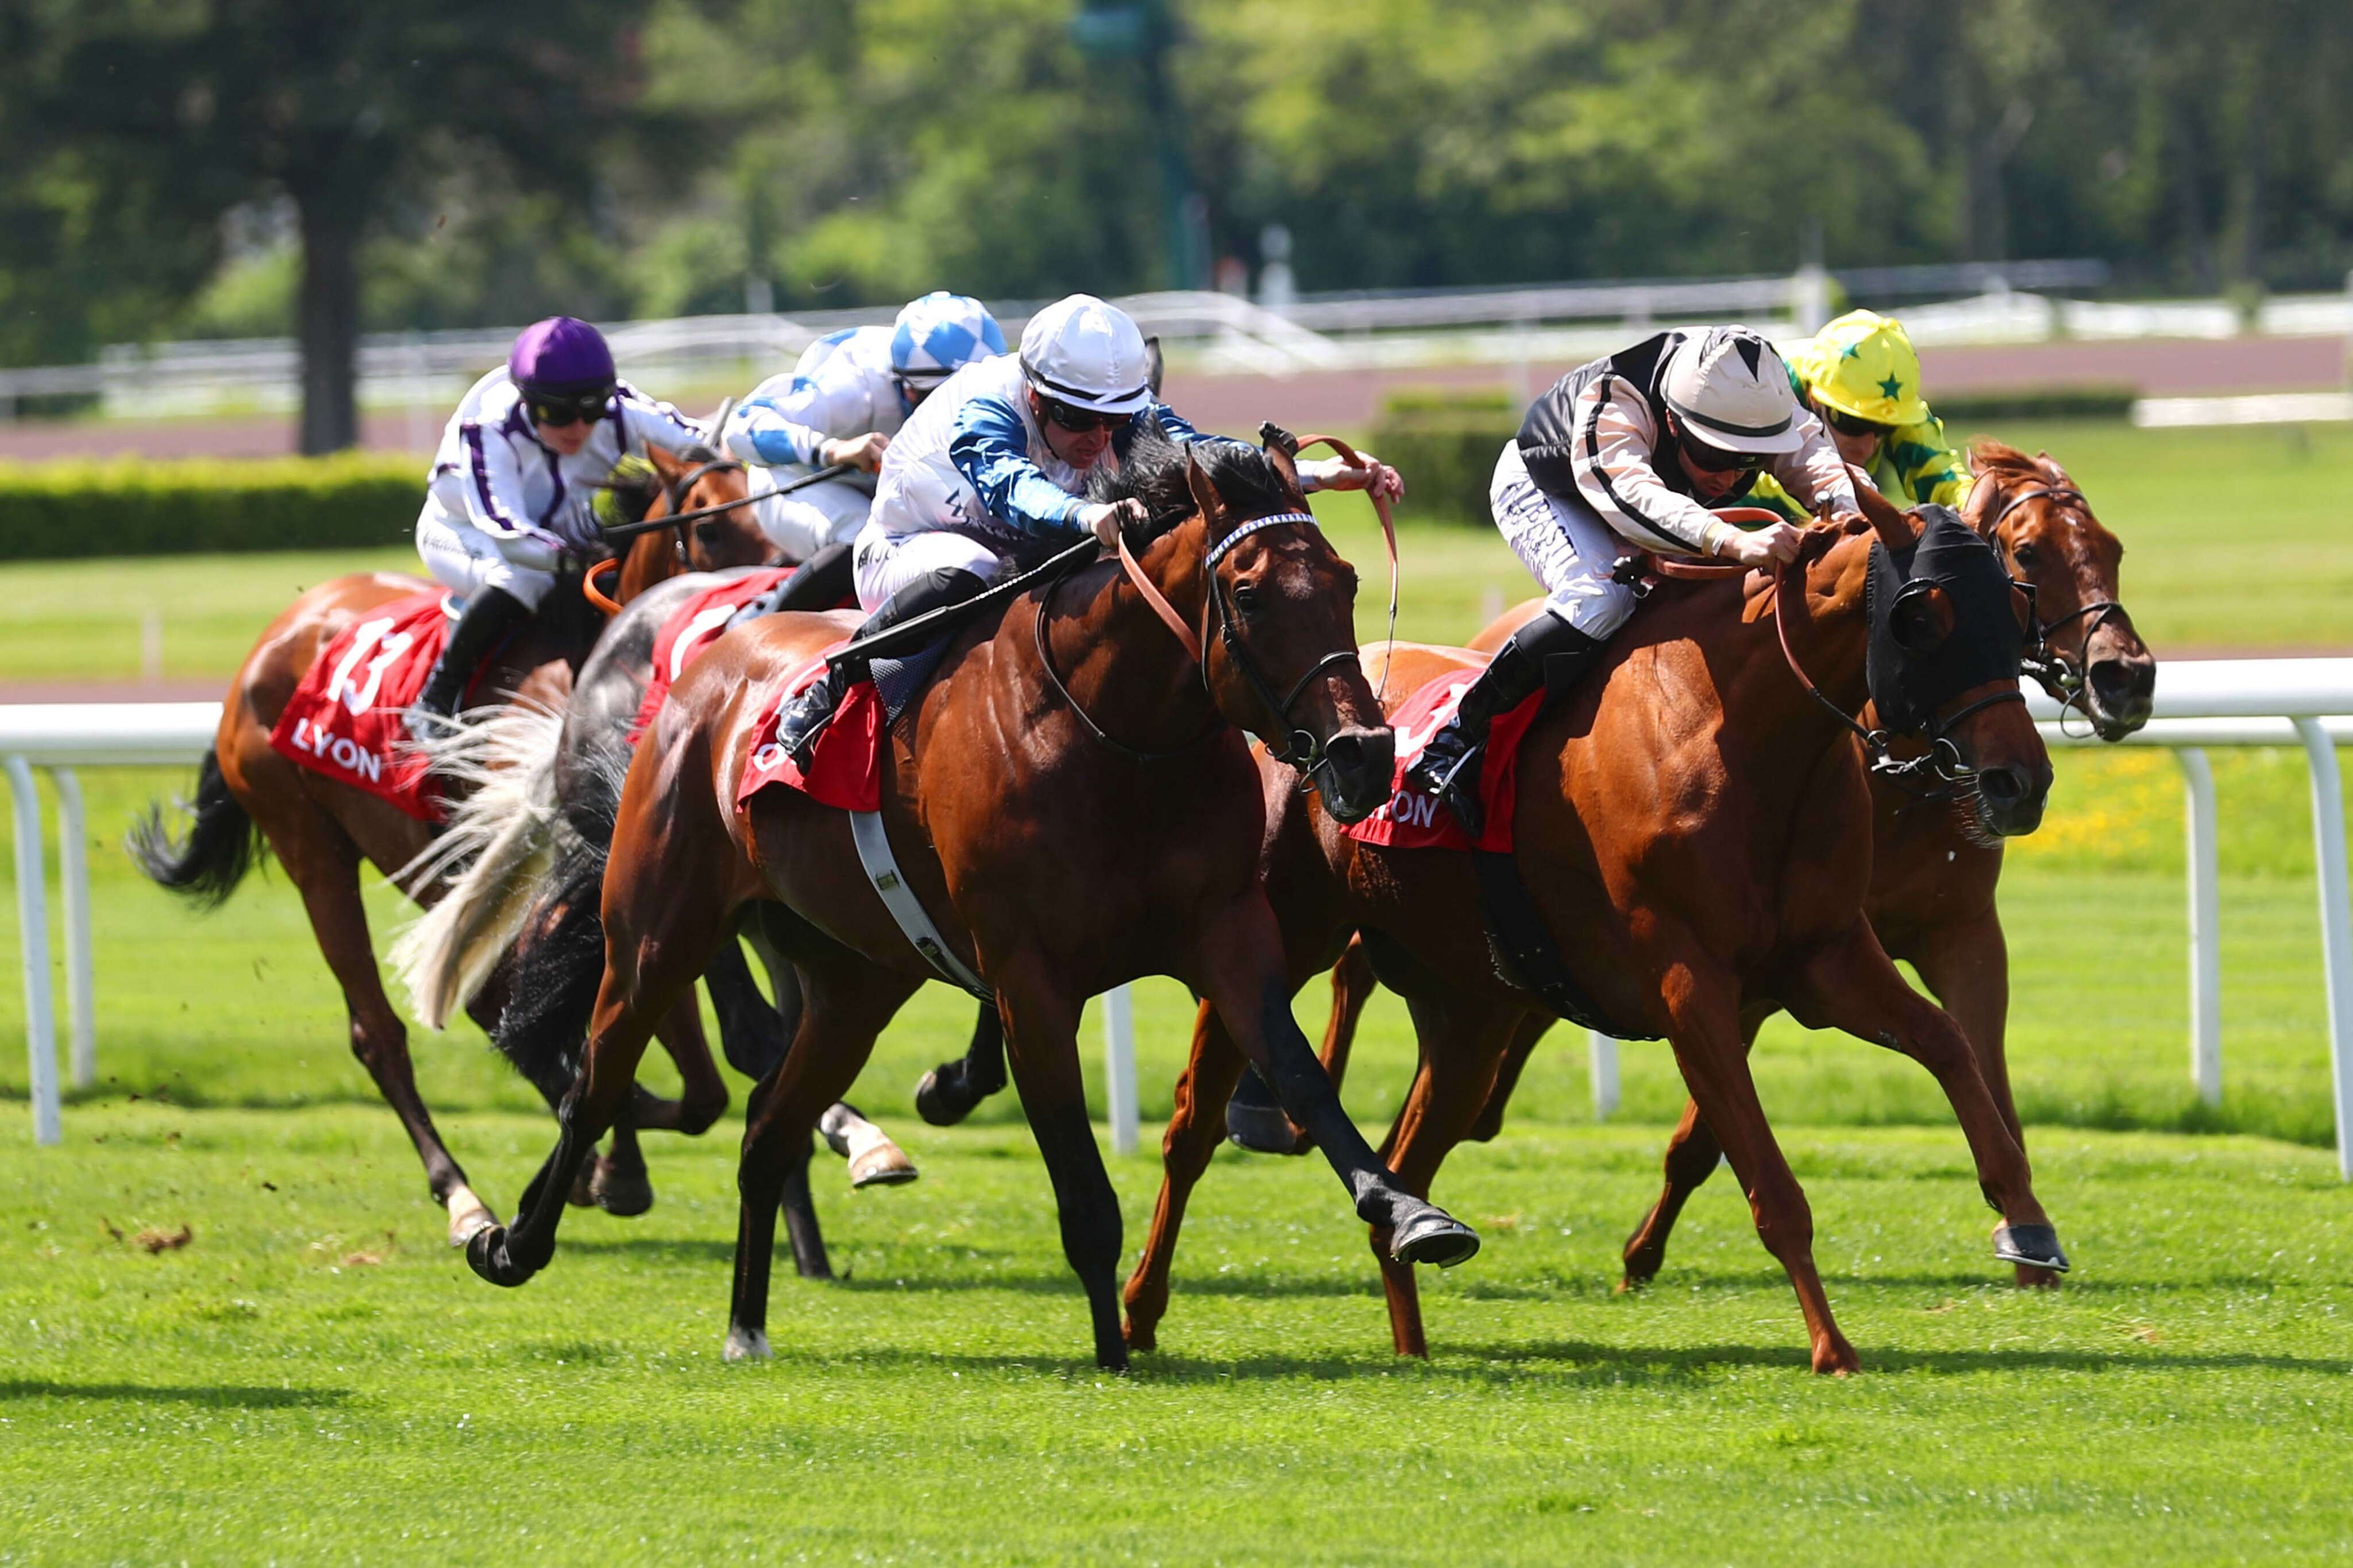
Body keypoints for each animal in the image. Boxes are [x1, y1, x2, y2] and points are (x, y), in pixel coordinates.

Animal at [126, 439, 772, 1241]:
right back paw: (463, 1196)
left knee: (484, 1000)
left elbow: (687, 1074)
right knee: (378, 1032)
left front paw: (608, 1156)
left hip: (427, 861)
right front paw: (606, 1146)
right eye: (711, 527)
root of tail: (271, 639)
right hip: (314, 849)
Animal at [468, 432, 1478, 1373]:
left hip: (855, 985)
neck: (1115, 736)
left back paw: (747, 1324)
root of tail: (703, 667)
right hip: (657, 931)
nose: (1362, 754)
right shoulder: (1031, 980)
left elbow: (1302, 1076)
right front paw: (1112, 1351)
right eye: (1252, 591)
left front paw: (1413, 1212)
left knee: (767, 1129)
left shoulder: (1228, 932)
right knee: (596, 1085)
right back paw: (510, 1242)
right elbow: (1081, 1181)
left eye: (1345, 579)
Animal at [1120, 491, 2061, 1373]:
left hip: (1469, 1012)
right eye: (1921, 617)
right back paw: (1138, 1310)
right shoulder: (1689, 985)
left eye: (2014, 608)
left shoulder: (1826, 959)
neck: (1735, 729)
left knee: (1406, 1157)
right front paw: (1832, 1346)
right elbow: (1769, 1184)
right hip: (1274, 945)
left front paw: (2028, 1226)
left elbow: (1948, 1045)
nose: (2020, 781)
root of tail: (1286, 730)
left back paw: (1413, 1332)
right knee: (1191, 1130)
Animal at [1289, 439, 2155, 1288]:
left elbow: (1965, 1056)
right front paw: (1643, 1256)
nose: (2125, 678)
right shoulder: (1702, 977)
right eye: (2025, 556)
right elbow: (1714, 1140)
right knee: (1352, 978)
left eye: (2109, 549)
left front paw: (2027, 1229)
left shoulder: (1919, 939)